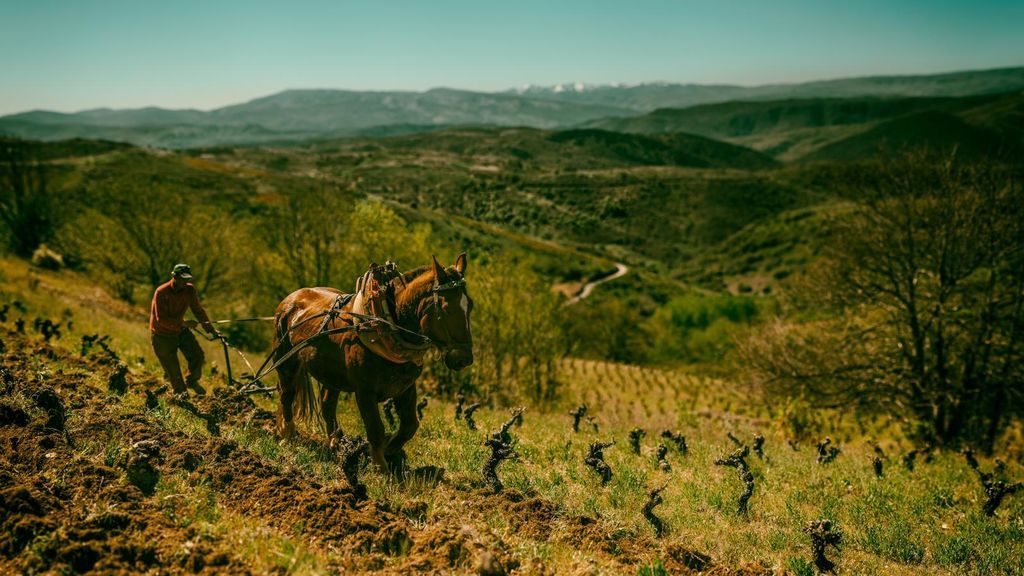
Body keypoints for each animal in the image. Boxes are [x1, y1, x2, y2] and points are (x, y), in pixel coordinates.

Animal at [274, 253, 477, 469]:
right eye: (446, 308)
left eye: (470, 305)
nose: (464, 359)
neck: (387, 325)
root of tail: (292, 298)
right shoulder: (365, 391)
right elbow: (375, 429)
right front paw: (380, 467)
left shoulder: (405, 387)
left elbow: (410, 425)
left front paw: (389, 450)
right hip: (286, 362)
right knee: (287, 394)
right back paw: (287, 435)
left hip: (331, 375)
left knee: (327, 406)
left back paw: (335, 444)